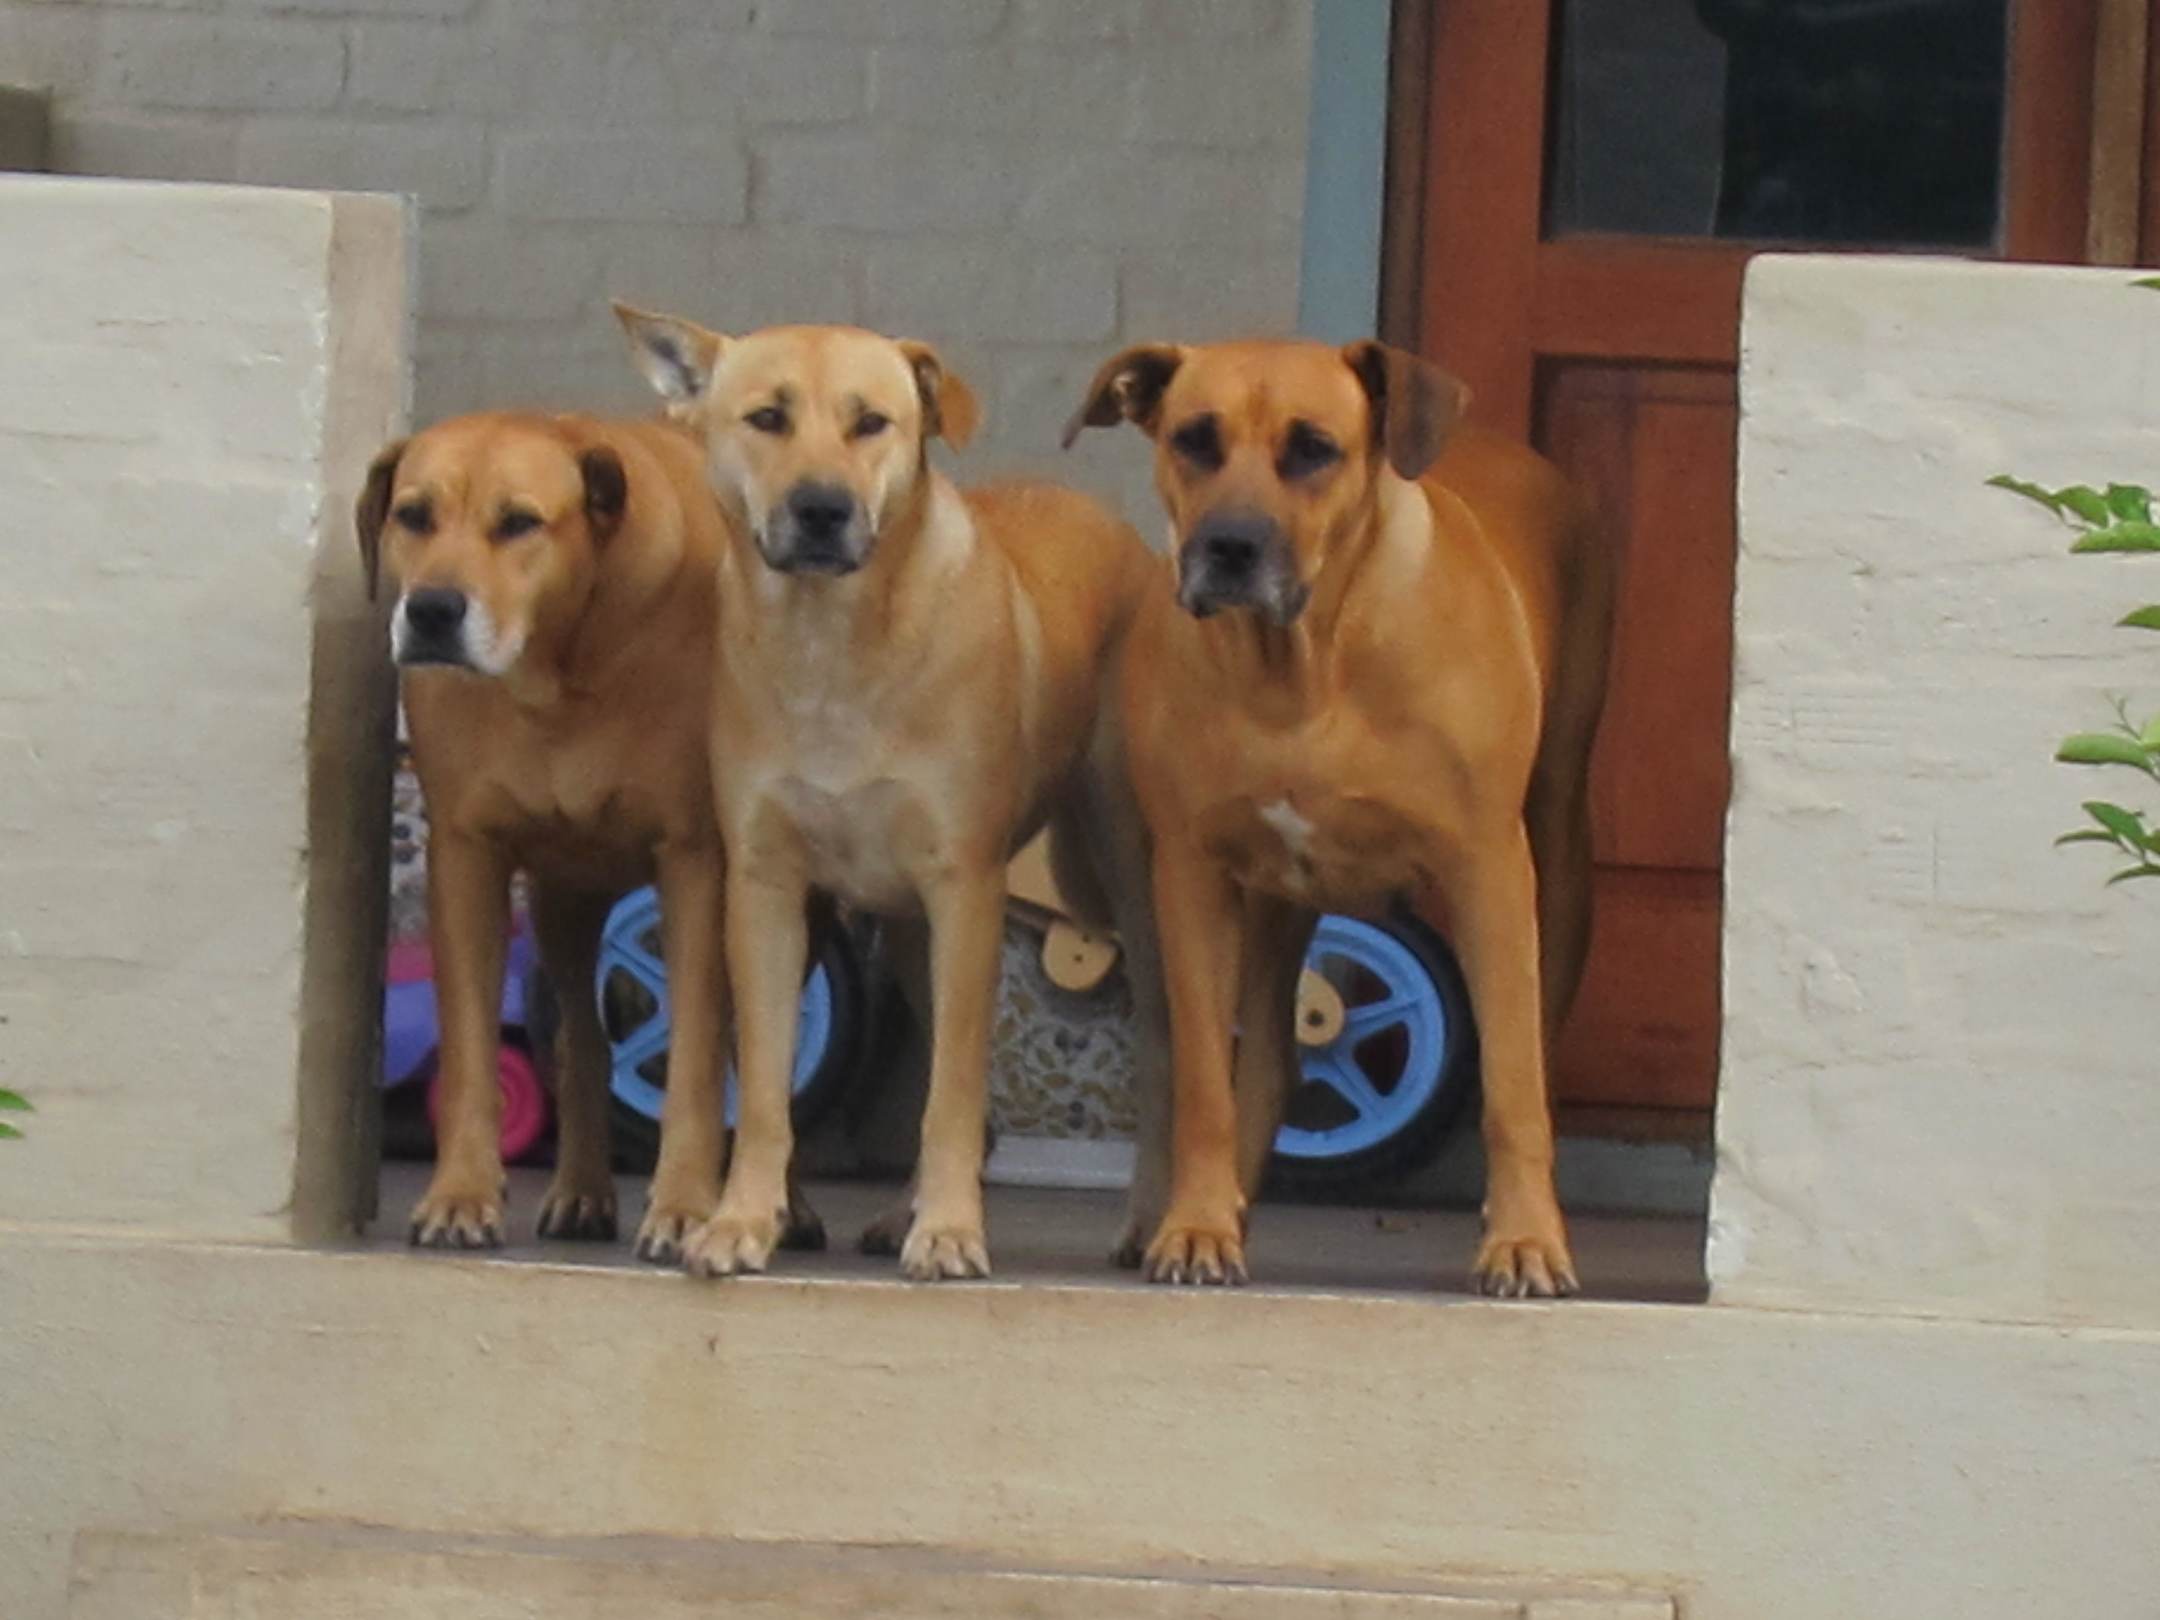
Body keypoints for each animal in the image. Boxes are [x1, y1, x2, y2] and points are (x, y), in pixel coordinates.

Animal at [356, 411, 789, 1264]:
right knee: (582, 1041)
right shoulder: (466, 853)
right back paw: (583, 1190)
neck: (555, 668)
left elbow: (695, 1057)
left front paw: (685, 1206)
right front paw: (460, 1194)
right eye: (413, 515)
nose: (432, 610)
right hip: (563, 901)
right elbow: (469, 1045)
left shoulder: (695, 859)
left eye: (520, 522)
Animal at [614, 308, 1155, 1281]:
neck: (832, 642)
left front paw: (949, 1231)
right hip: (901, 931)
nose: (822, 509)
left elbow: (950, 1094)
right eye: (767, 418)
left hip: (1125, 880)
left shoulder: (966, 887)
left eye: (872, 423)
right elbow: (763, 1085)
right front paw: (741, 1220)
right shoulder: (765, 887)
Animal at [1064, 339, 1613, 1297]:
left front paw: (1524, 1241)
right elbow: (1207, 1082)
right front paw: (1197, 1224)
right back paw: (1218, 1208)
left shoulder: (1487, 866)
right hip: (1273, 899)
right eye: (1193, 439)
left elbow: (1513, 1088)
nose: (1229, 546)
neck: (1300, 667)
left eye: (1313, 449)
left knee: (1533, 1045)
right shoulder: (1193, 874)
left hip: (1557, 846)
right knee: (1265, 1063)